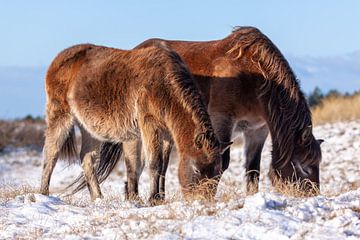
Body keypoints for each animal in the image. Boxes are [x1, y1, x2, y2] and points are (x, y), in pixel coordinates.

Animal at [39, 42, 231, 201]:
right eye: (197, 169)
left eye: (218, 173)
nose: (203, 201)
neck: (164, 83)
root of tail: (59, 59)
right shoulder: (149, 125)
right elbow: (154, 164)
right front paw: (152, 199)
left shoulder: (164, 134)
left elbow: (148, 167)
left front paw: (139, 199)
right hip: (60, 116)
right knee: (51, 155)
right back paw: (44, 194)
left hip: (89, 129)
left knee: (87, 159)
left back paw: (98, 197)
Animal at [70, 25, 324, 199]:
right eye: (303, 165)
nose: (312, 196)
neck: (253, 73)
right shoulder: (222, 121)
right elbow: (224, 162)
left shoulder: (257, 130)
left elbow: (253, 169)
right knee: (135, 165)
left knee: (162, 164)